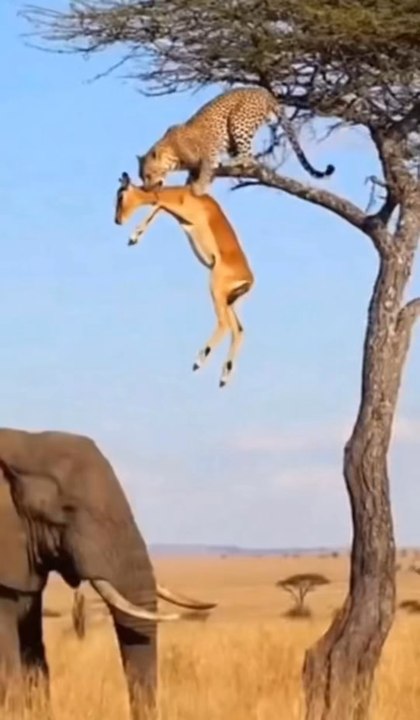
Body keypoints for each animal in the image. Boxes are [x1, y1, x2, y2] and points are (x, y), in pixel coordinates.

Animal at [114, 172, 254, 387]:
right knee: (238, 330)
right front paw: (133, 238)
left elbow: (158, 204)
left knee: (224, 325)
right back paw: (223, 377)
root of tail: (249, 279)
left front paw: (133, 237)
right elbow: (158, 207)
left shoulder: (184, 214)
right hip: (229, 302)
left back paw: (198, 362)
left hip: (216, 291)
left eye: (120, 196)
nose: (117, 220)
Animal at [138, 86, 335, 196]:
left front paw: (198, 189)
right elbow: (196, 174)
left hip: (238, 120)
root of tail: (264, 91)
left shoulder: (209, 153)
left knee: (249, 157)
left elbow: (206, 170)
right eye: (142, 176)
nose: (145, 189)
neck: (173, 153)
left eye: (148, 175)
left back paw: (232, 162)